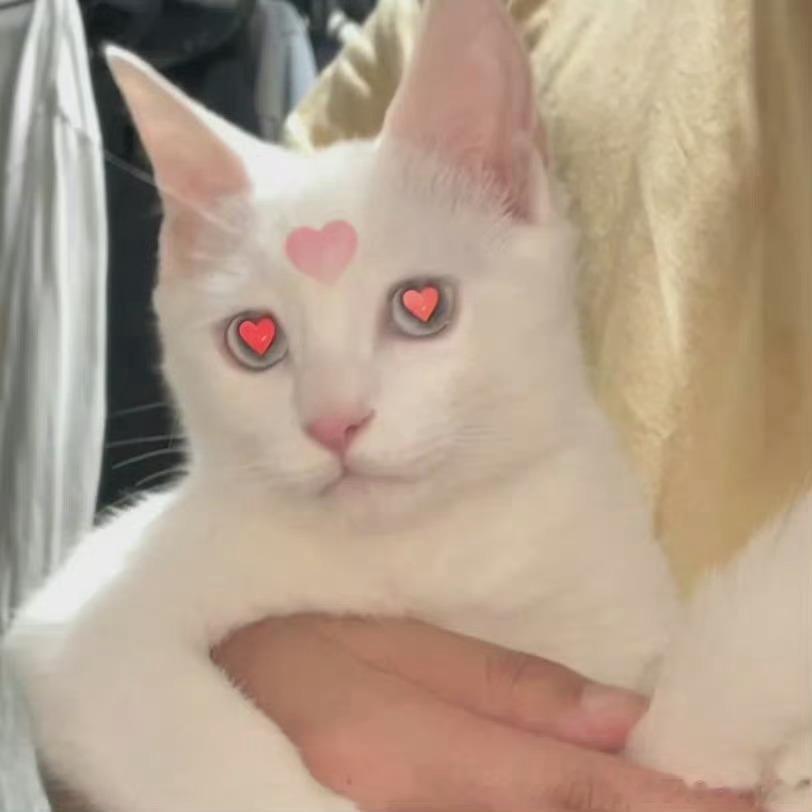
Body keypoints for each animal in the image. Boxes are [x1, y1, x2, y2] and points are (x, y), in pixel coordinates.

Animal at [3, 0, 810, 810]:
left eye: (422, 305)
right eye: (254, 338)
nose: (334, 421)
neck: (420, 560)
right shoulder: (74, 625)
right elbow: (189, 740)